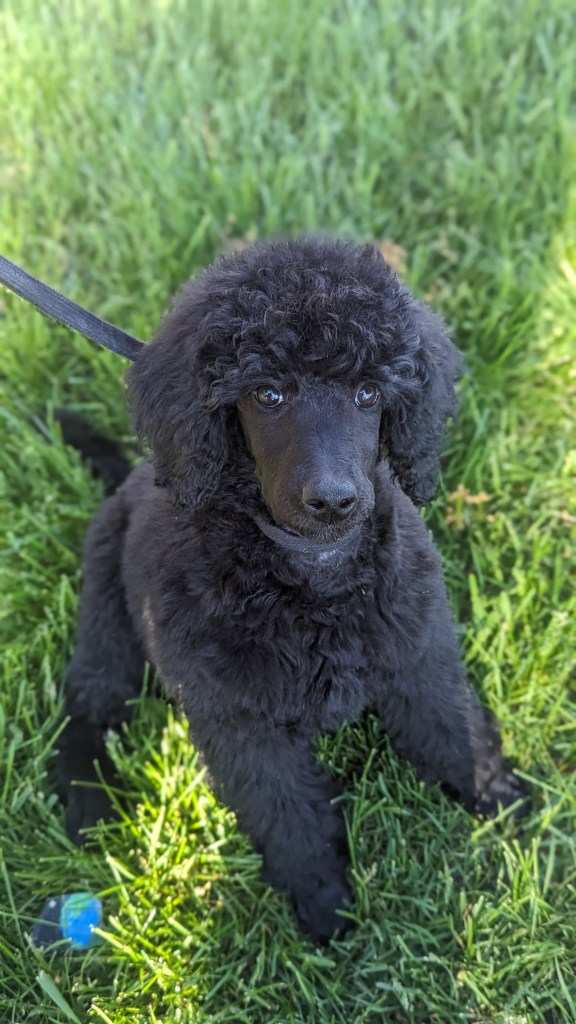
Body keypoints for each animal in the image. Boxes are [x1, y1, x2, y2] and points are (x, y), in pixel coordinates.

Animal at [57, 237, 525, 943]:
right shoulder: (241, 727)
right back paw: (85, 798)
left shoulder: (420, 657)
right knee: (88, 702)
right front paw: (325, 905)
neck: (312, 576)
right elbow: (288, 817)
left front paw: (511, 810)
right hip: (108, 617)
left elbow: (453, 734)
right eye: (268, 394)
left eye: (368, 392)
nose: (332, 502)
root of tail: (129, 481)